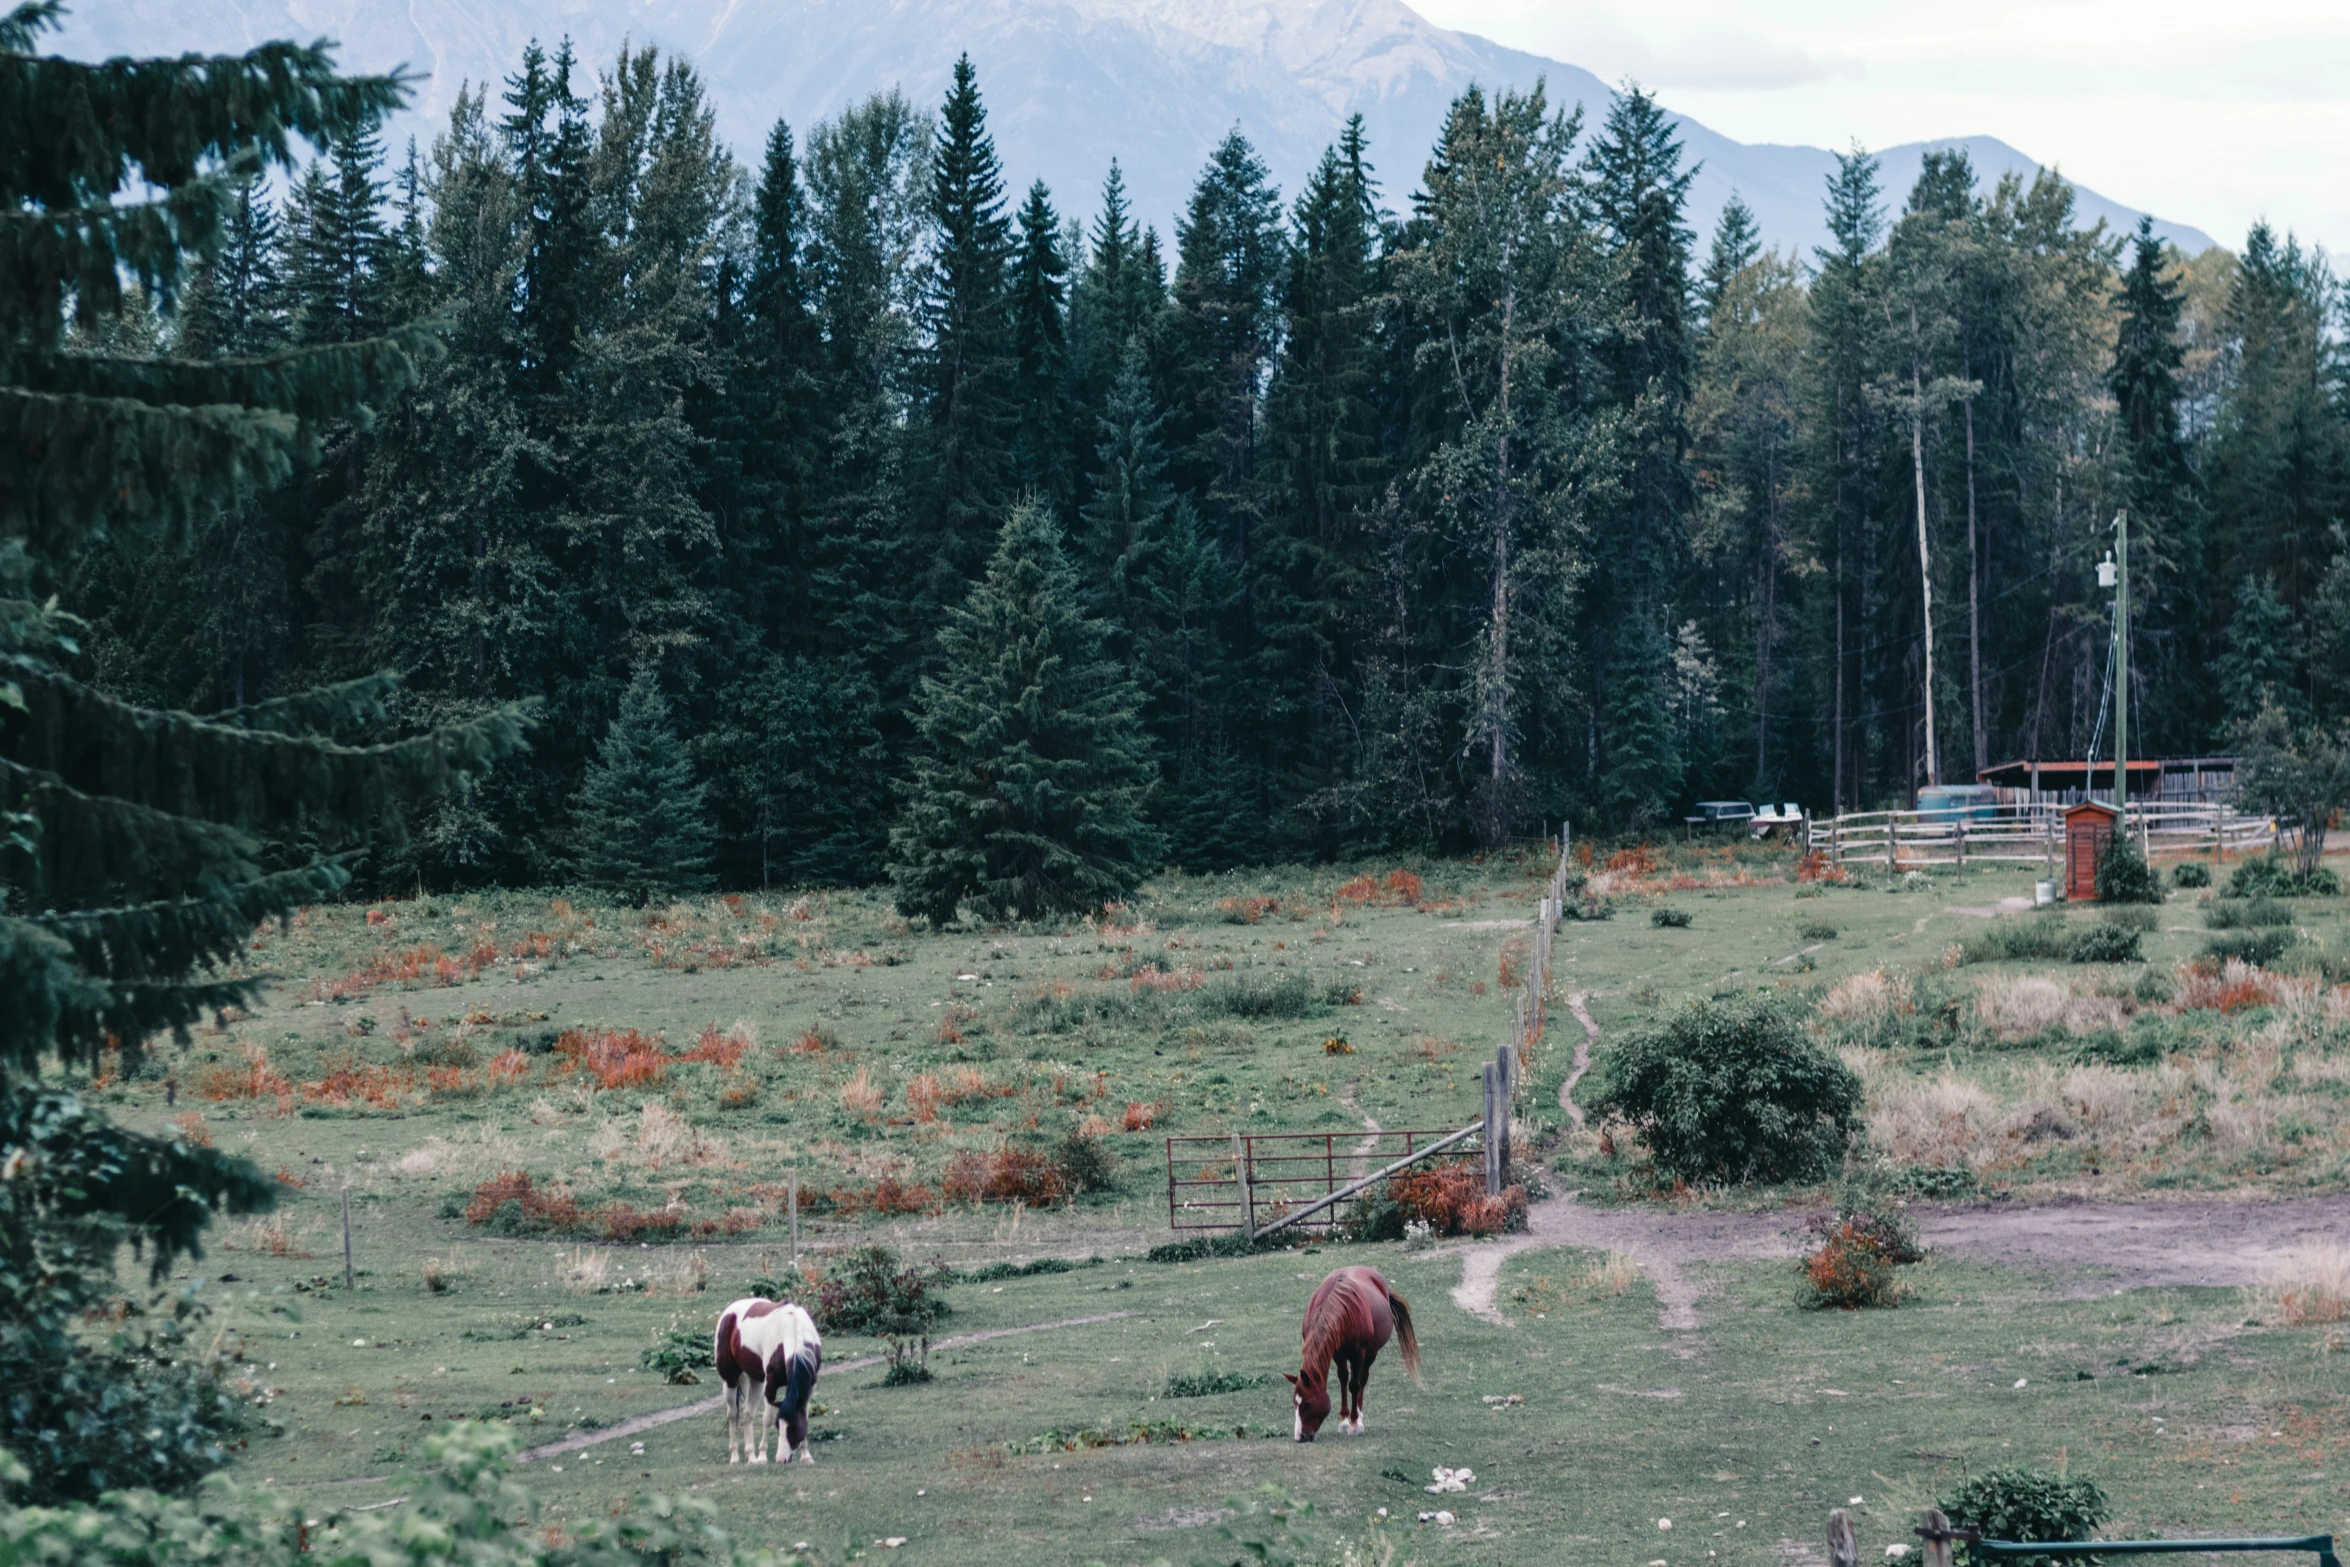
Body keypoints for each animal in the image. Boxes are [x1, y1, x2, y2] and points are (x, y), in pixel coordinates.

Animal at [709, 1296, 822, 1465]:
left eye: (795, 1427)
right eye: (778, 1426)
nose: (782, 1459)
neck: (793, 1329)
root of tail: (728, 1313)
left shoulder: (810, 1386)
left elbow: (805, 1415)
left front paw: (806, 1455)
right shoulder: (771, 1384)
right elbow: (766, 1419)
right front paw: (762, 1456)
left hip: (756, 1381)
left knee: (747, 1413)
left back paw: (751, 1457)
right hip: (730, 1379)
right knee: (732, 1414)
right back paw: (735, 1457)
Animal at [1287, 1259, 1410, 1447]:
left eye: (1307, 1403)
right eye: (1295, 1403)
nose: (1299, 1437)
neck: (1337, 1309)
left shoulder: (1358, 1353)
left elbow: (1354, 1385)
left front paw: (1354, 1424)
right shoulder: (1336, 1353)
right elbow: (1343, 1380)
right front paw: (1344, 1421)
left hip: (1370, 1353)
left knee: (1362, 1380)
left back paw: (1358, 1416)